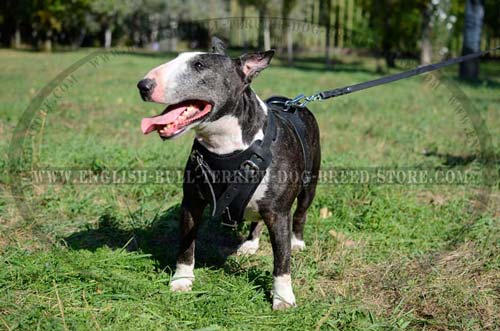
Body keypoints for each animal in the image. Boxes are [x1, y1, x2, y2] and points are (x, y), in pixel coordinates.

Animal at [137, 39, 320, 312]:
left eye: (199, 65)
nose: (143, 85)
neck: (225, 144)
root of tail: (293, 102)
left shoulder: (278, 212)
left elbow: (282, 259)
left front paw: (283, 297)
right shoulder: (191, 202)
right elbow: (186, 245)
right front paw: (182, 280)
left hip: (309, 184)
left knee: (300, 213)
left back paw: (297, 241)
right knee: (257, 220)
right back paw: (251, 244)